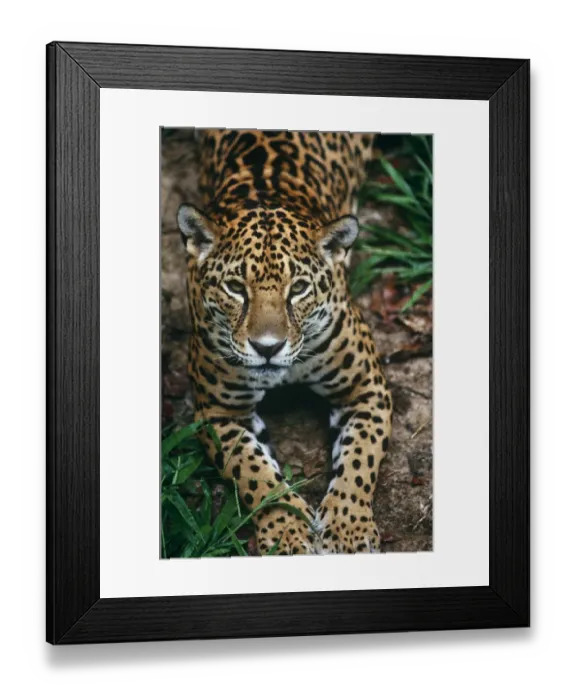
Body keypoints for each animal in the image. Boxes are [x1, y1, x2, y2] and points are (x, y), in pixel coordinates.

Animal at [177, 129, 392, 555]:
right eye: (235, 287)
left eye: (299, 289)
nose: (267, 347)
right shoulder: (218, 413)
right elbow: (254, 473)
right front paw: (286, 530)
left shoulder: (365, 388)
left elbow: (360, 458)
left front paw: (348, 527)